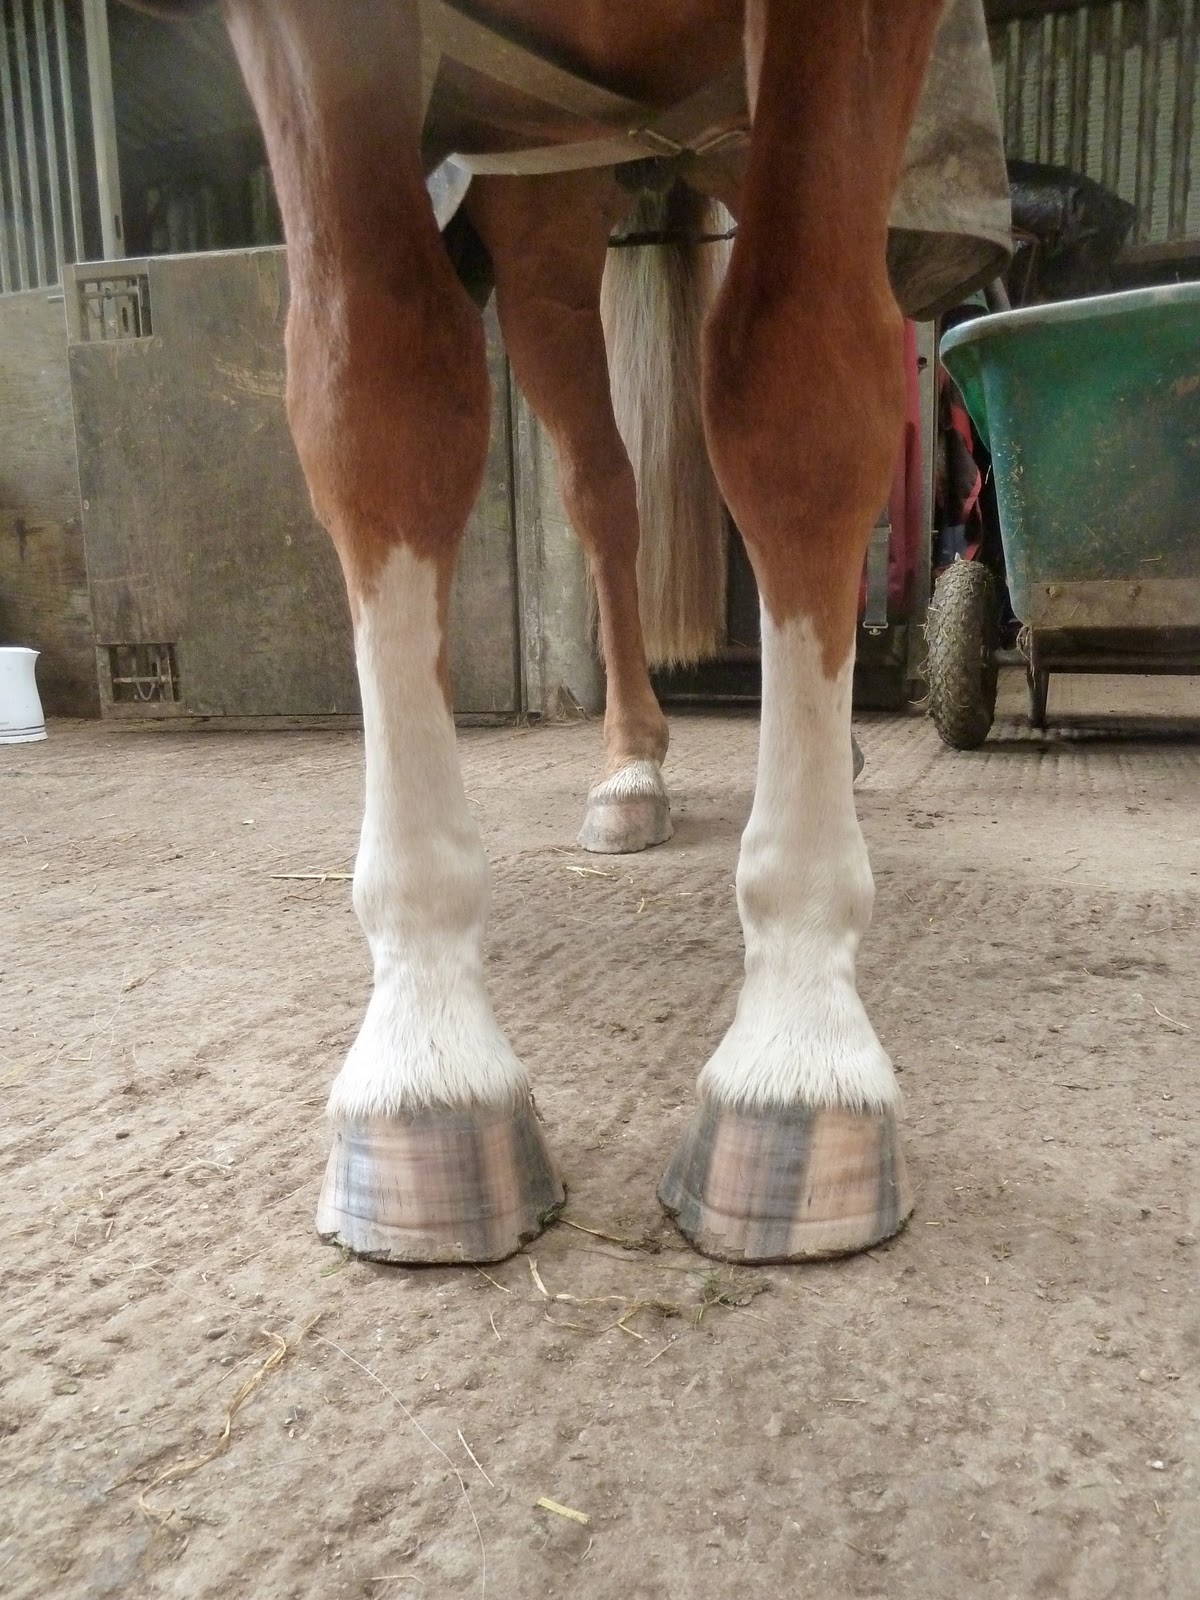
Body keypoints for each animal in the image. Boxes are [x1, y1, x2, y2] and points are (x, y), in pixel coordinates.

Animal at [132, 0, 1009, 1265]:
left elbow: (798, 386)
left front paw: (798, 1046)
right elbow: (376, 390)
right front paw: (427, 1060)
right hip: (539, 204)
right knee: (602, 484)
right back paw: (630, 766)